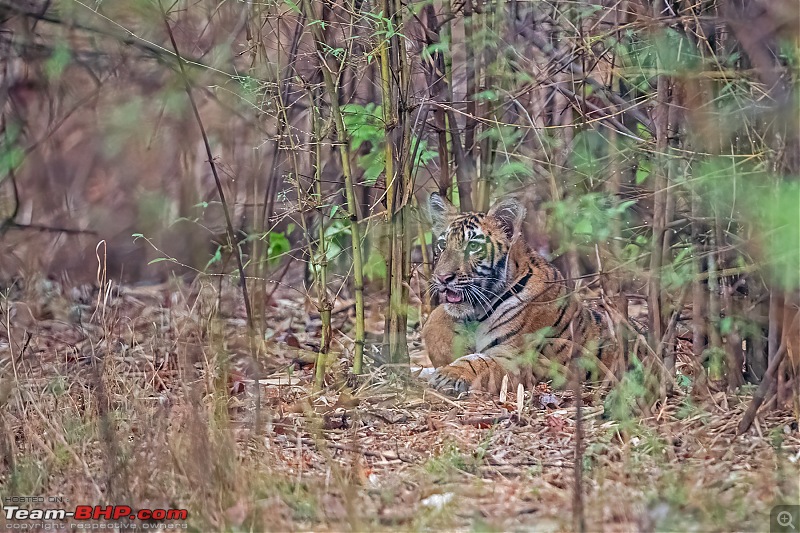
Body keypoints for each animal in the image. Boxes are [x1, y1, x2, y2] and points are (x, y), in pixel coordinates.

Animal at [424, 192, 612, 394]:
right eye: (443, 244)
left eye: (473, 246)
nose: (442, 277)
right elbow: (435, 318)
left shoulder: (515, 360)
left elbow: (480, 362)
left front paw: (449, 374)